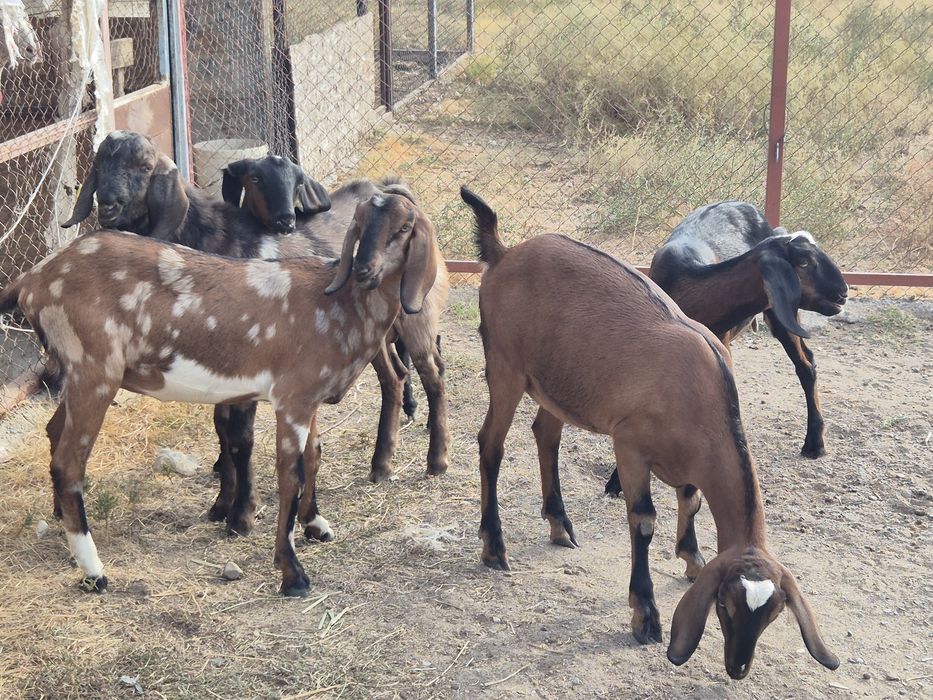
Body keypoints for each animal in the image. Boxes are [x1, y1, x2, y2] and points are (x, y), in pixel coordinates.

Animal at [1, 192, 437, 596]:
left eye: (403, 228)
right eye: (360, 227)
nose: (364, 270)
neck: (335, 304)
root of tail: (32, 279)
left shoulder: (308, 399)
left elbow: (314, 457)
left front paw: (316, 526)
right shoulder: (292, 398)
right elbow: (291, 475)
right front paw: (292, 573)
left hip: (79, 376)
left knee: (54, 433)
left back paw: (61, 519)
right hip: (94, 372)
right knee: (68, 464)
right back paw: (94, 571)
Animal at [222, 155, 450, 480]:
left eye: (405, 227)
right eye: (254, 178)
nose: (286, 220)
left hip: (418, 322)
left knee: (431, 375)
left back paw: (436, 459)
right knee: (404, 373)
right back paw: (385, 458)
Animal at [605, 201, 848, 499]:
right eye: (803, 262)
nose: (843, 293)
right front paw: (617, 480)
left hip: (778, 315)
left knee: (806, 366)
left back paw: (814, 443)